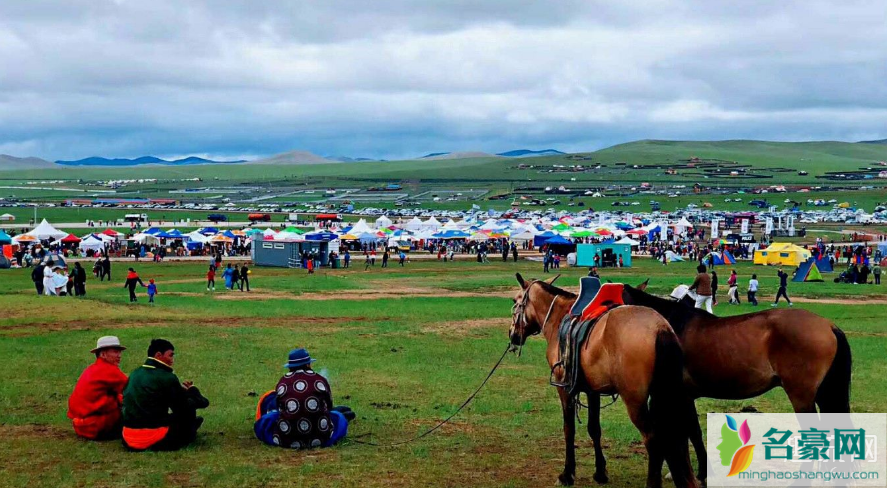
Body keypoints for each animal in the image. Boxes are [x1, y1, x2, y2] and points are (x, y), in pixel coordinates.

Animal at [512, 274, 700, 488]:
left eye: (515, 301)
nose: (513, 336)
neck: (559, 318)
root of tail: (660, 328)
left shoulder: (564, 387)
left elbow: (569, 429)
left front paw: (567, 474)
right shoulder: (592, 389)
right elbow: (594, 429)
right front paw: (600, 472)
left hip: (635, 401)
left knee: (653, 439)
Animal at [616, 280, 852, 482]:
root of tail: (828, 326)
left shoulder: (677, 395)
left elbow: (686, 431)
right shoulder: (687, 395)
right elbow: (695, 432)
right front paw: (703, 471)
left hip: (801, 396)